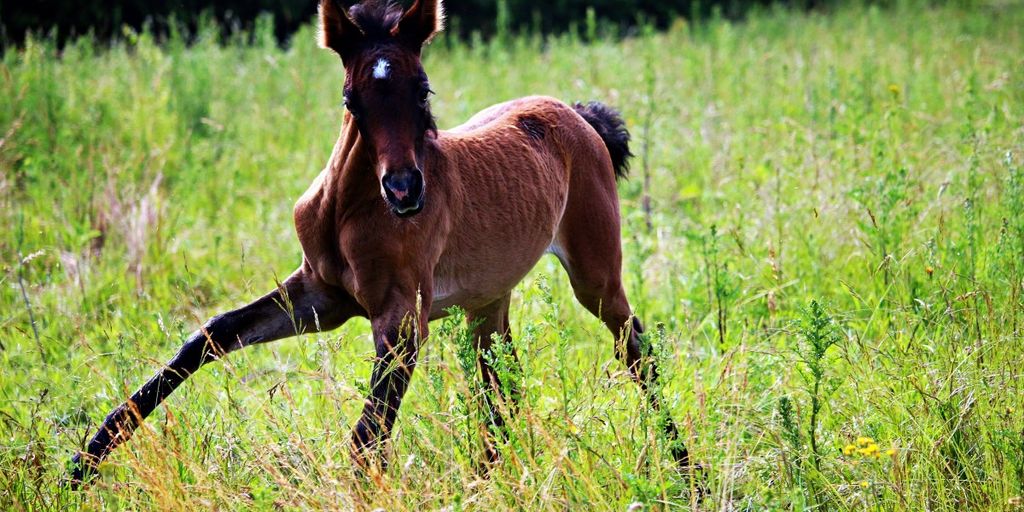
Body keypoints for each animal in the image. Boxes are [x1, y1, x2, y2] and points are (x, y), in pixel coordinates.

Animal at [70, 0, 688, 483]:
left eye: (423, 89)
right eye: (352, 100)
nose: (405, 190)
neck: (348, 213)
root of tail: (577, 114)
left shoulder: (401, 317)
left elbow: (368, 437)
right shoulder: (320, 298)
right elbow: (208, 337)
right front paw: (83, 463)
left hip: (595, 273)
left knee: (636, 353)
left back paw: (688, 473)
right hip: (487, 299)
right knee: (503, 388)